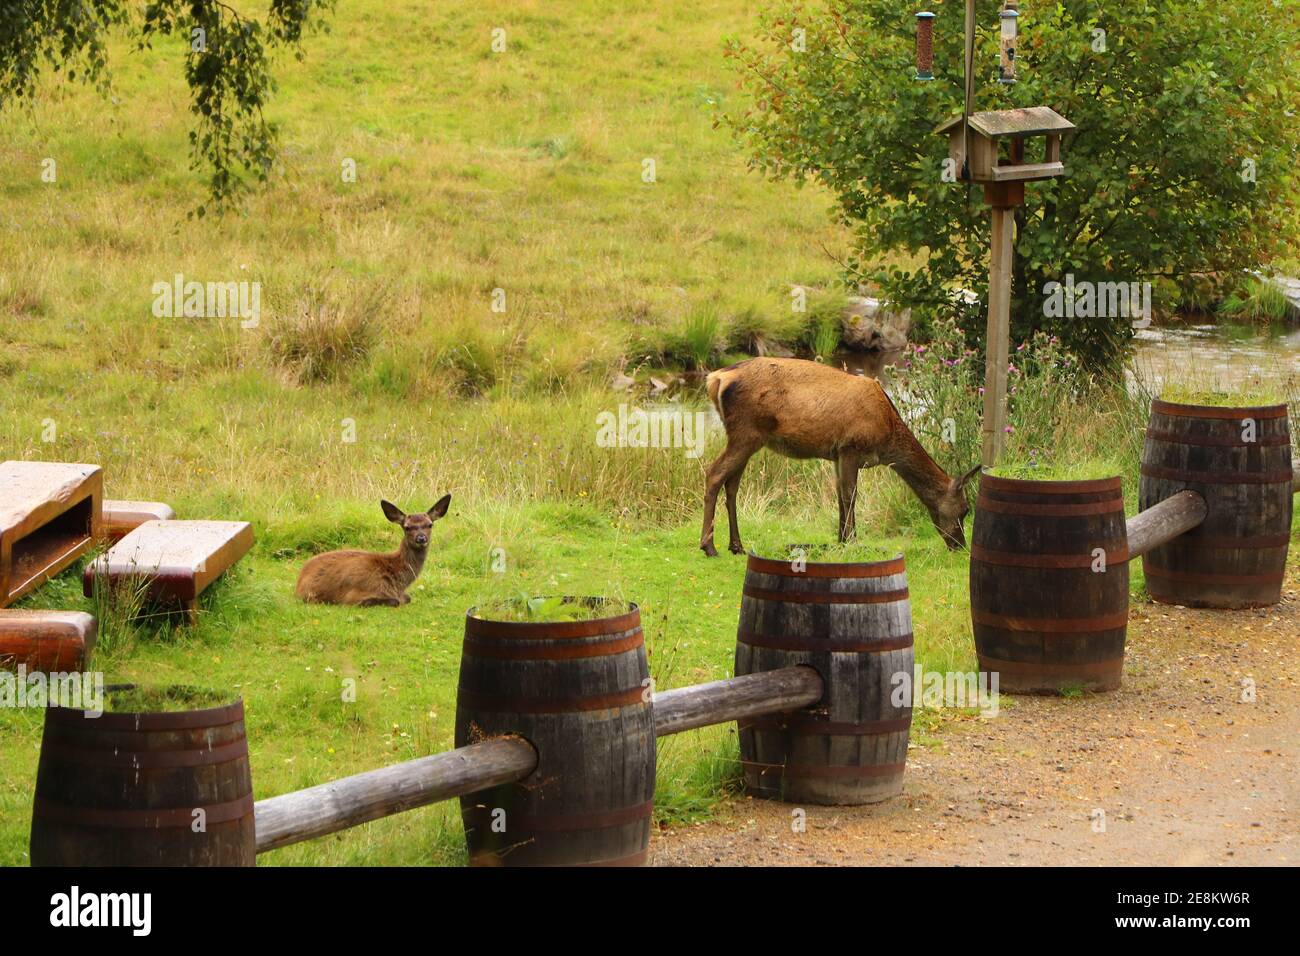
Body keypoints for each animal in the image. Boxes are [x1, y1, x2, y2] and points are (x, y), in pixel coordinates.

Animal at [296, 495, 452, 606]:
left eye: (430, 524)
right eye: (407, 527)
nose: (421, 538)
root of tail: (299, 580)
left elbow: (408, 598)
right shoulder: (353, 595)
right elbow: (395, 601)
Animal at [699, 358, 979, 556]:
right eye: (965, 510)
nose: (960, 545)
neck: (887, 432)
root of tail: (716, 378)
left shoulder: (836, 454)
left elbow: (839, 495)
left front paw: (841, 539)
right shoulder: (851, 446)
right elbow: (850, 494)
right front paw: (852, 540)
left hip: (746, 438)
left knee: (732, 484)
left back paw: (736, 546)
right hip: (746, 432)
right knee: (714, 474)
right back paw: (709, 546)